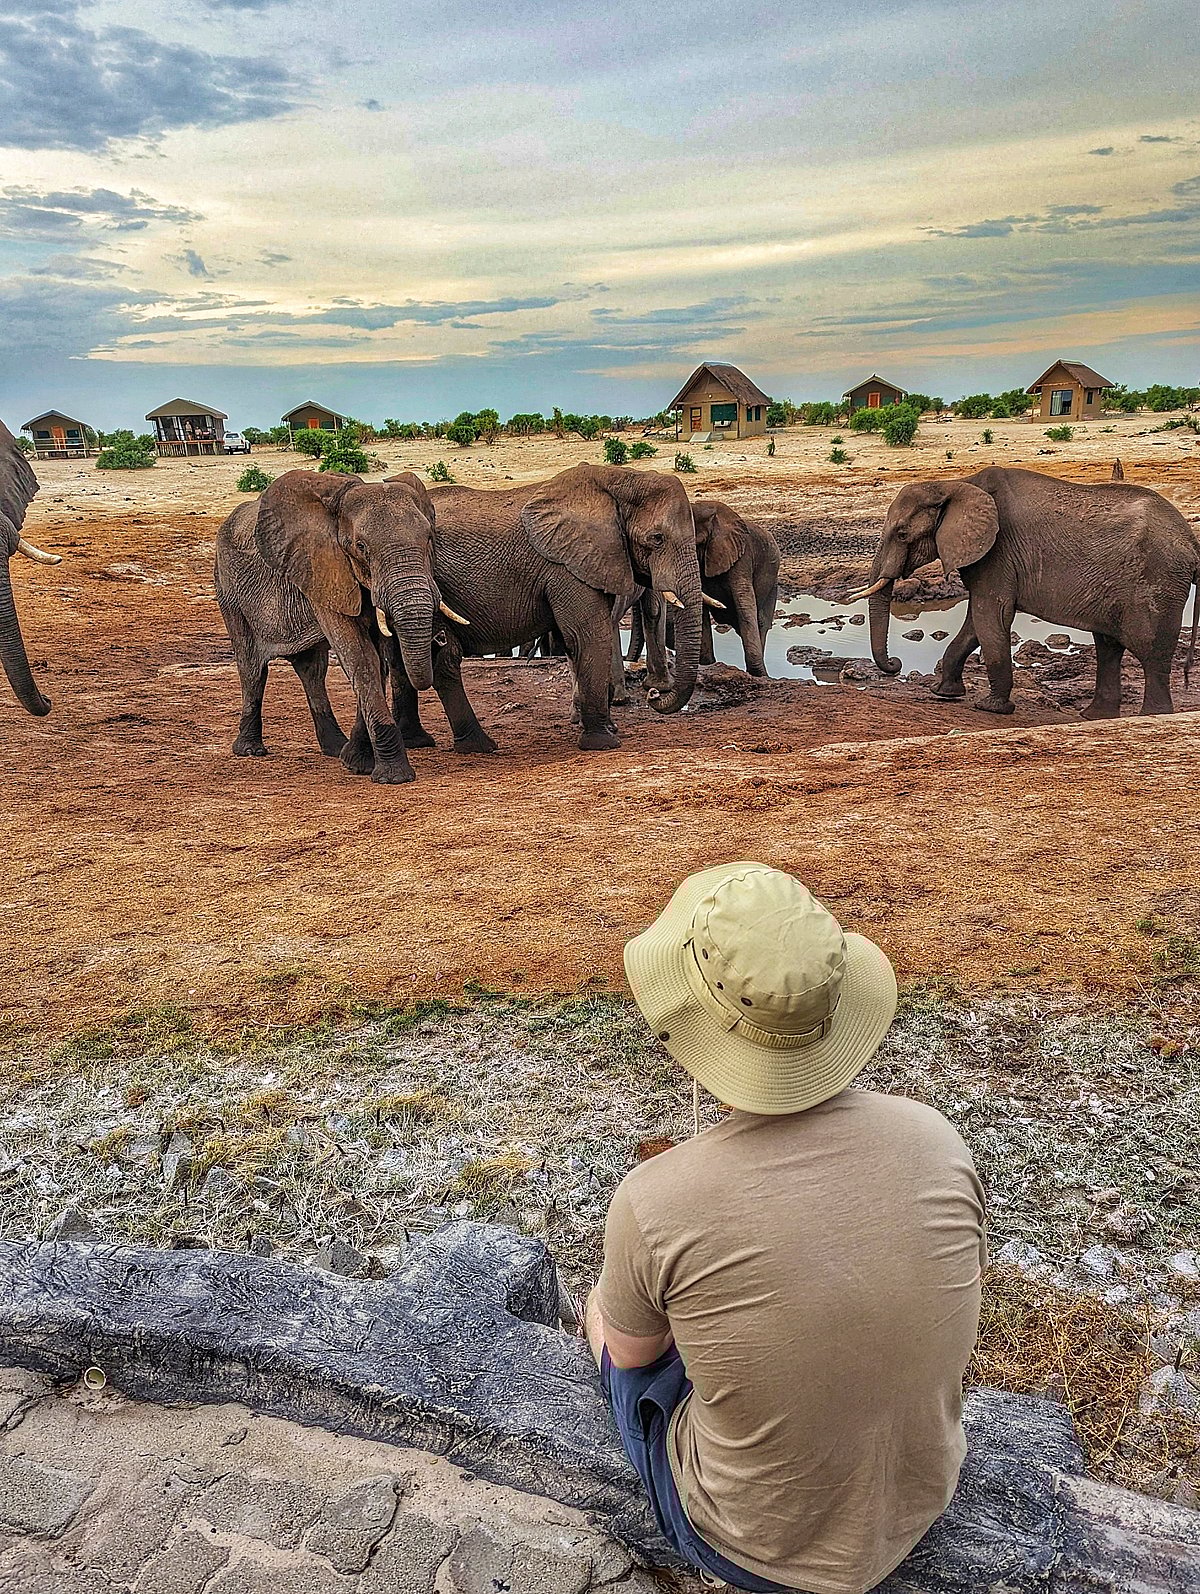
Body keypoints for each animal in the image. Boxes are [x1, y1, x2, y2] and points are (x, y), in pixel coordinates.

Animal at [214, 469, 493, 785]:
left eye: (429, 539)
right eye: (361, 547)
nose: (441, 638)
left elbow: (378, 658)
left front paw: (355, 762)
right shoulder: (323, 567)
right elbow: (361, 656)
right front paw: (392, 777)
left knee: (312, 669)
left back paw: (334, 748)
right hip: (228, 589)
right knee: (251, 667)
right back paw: (250, 750)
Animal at [417, 464, 704, 751]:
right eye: (657, 538)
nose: (653, 696)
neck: (620, 479)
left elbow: (576, 642)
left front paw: (603, 728)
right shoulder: (566, 567)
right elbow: (588, 637)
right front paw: (603, 742)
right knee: (446, 658)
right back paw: (478, 745)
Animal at [854, 467, 1200, 718]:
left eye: (901, 534)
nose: (896, 664)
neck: (954, 485)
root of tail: (1192, 543)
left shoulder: (999, 550)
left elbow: (990, 615)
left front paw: (991, 708)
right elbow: (976, 622)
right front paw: (944, 693)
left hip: (1157, 582)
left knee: (1150, 652)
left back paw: (1150, 717)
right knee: (1108, 646)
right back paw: (1094, 717)